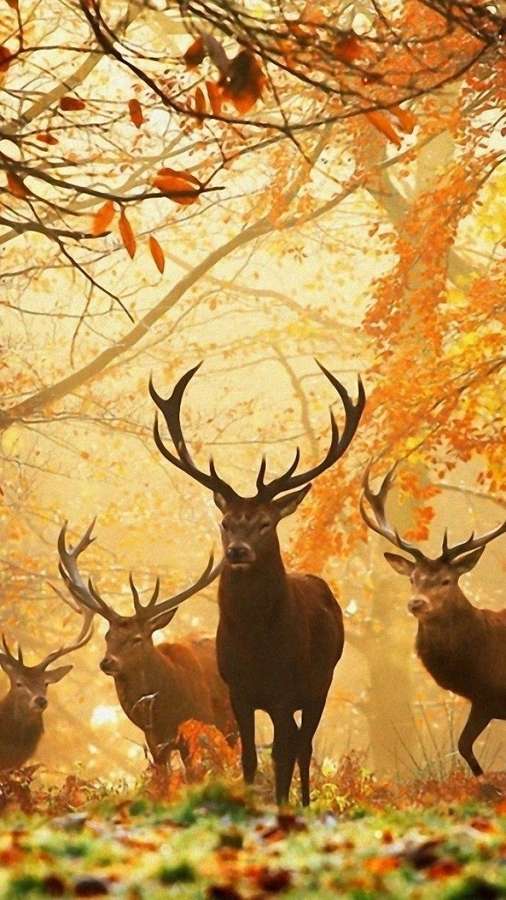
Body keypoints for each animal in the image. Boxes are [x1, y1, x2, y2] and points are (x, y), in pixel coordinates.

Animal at [149, 361, 366, 805]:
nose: (237, 551)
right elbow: (249, 758)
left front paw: (282, 806)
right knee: (297, 743)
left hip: (321, 682)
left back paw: (304, 802)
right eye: (226, 522)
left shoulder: (285, 690)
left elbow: (282, 755)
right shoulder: (239, 691)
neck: (256, 645)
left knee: (304, 746)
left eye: (266, 523)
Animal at [361, 464, 506, 782]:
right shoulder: (484, 700)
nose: (416, 603)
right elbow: (463, 745)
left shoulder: (489, 698)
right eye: (413, 579)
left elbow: (464, 745)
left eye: (446, 580)